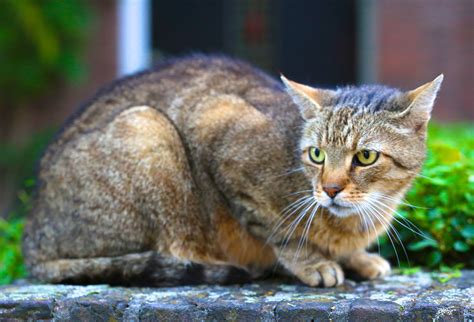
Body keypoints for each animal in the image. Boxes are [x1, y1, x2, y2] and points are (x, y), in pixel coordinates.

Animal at [22, 54, 444, 286]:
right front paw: (313, 262)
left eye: (365, 157)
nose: (330, 189)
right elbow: (279, 230)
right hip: (145, 127)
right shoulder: (218, 127)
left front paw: (358, 259)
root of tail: (31, 237)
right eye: (317, 155)